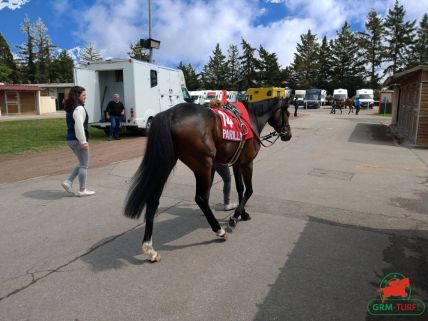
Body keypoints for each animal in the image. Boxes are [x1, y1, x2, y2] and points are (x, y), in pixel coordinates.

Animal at [123, 99, 290, 262]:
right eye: (287, 113)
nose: (288, 135)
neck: (250, 118)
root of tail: (170, 114)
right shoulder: (247, 163)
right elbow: (249, 190)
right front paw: (234, 218)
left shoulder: (237, 163)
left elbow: (240, 188)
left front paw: (242, 214)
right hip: (203, 166)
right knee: (201, 198)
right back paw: (219, 231)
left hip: (165, 163)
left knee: (153, 200)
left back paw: (149, 248)